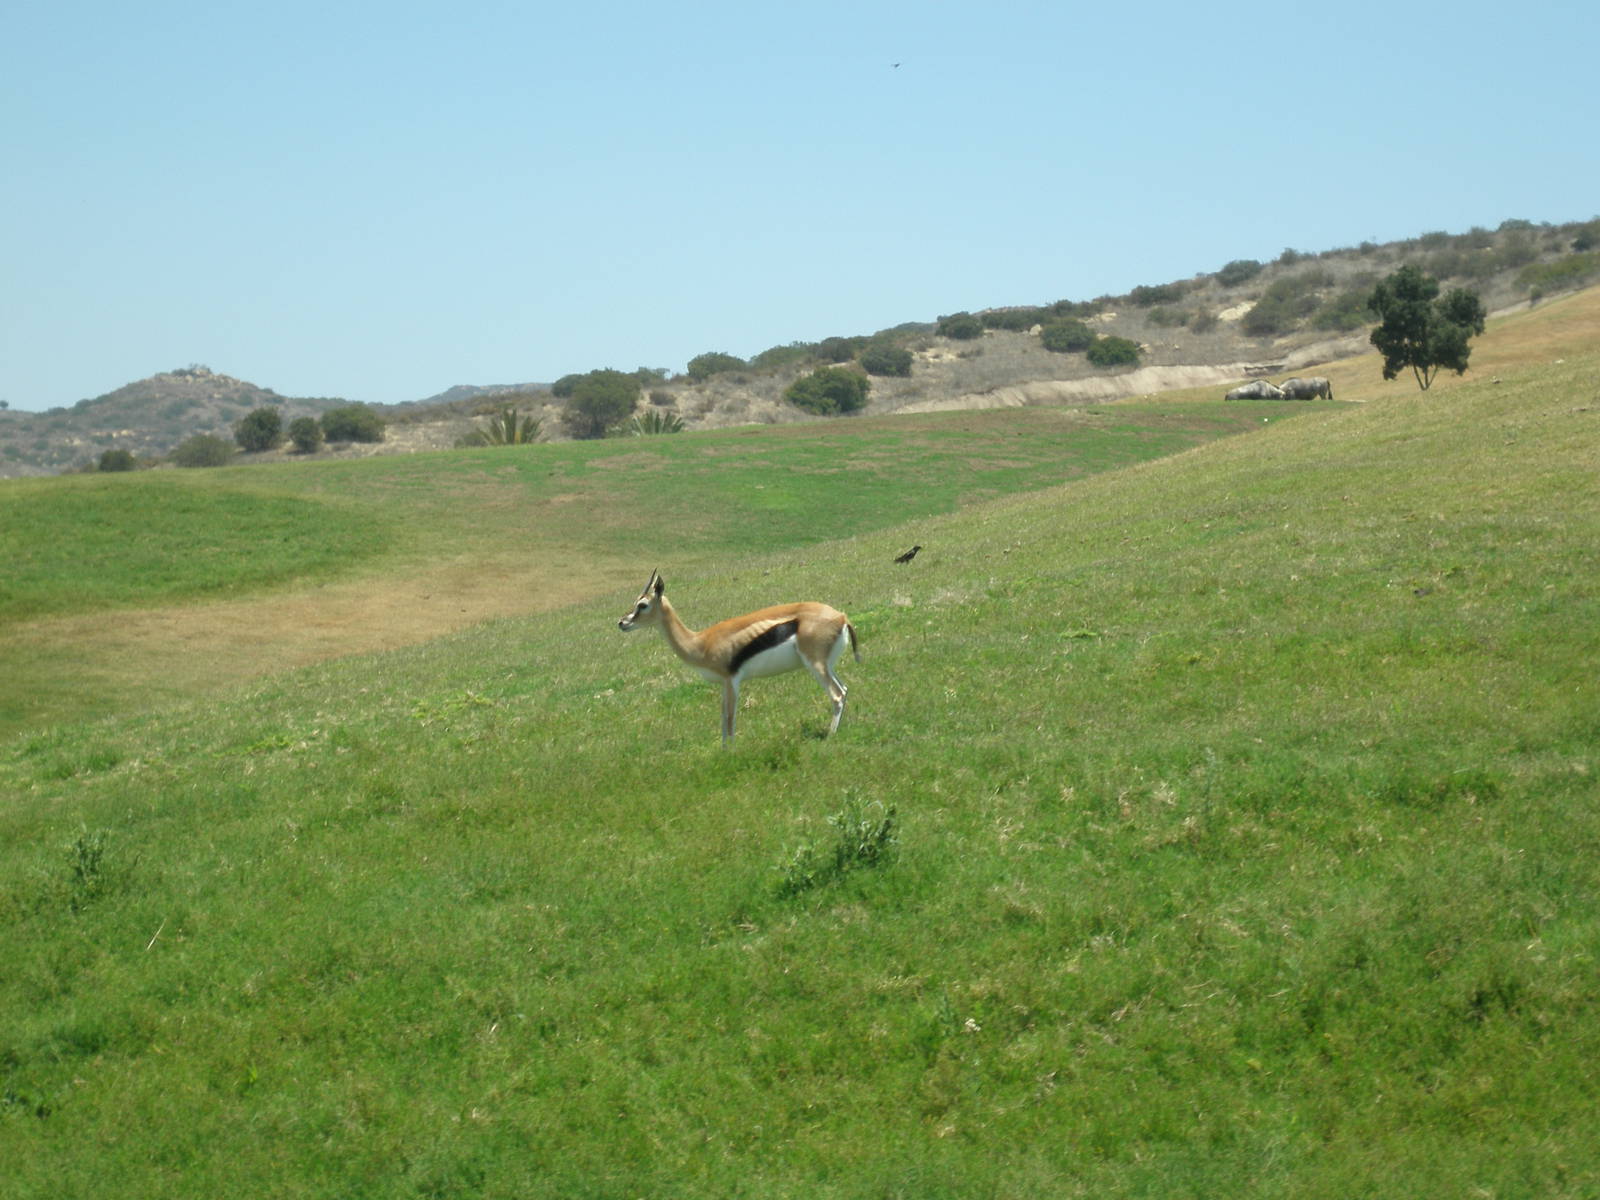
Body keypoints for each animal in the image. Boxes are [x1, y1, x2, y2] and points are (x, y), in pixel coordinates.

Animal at [617, 570, 860, 743]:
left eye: (642, 604)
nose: (622, 622)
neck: (700, 642)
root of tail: (841, 616)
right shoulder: (723, 684)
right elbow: (722, 718)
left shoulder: (731, 680)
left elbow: (730, 717)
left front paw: (732, 752)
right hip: (826, 665)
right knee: (845, 689)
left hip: (815, 664)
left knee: (837, 695)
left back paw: (829, 736)